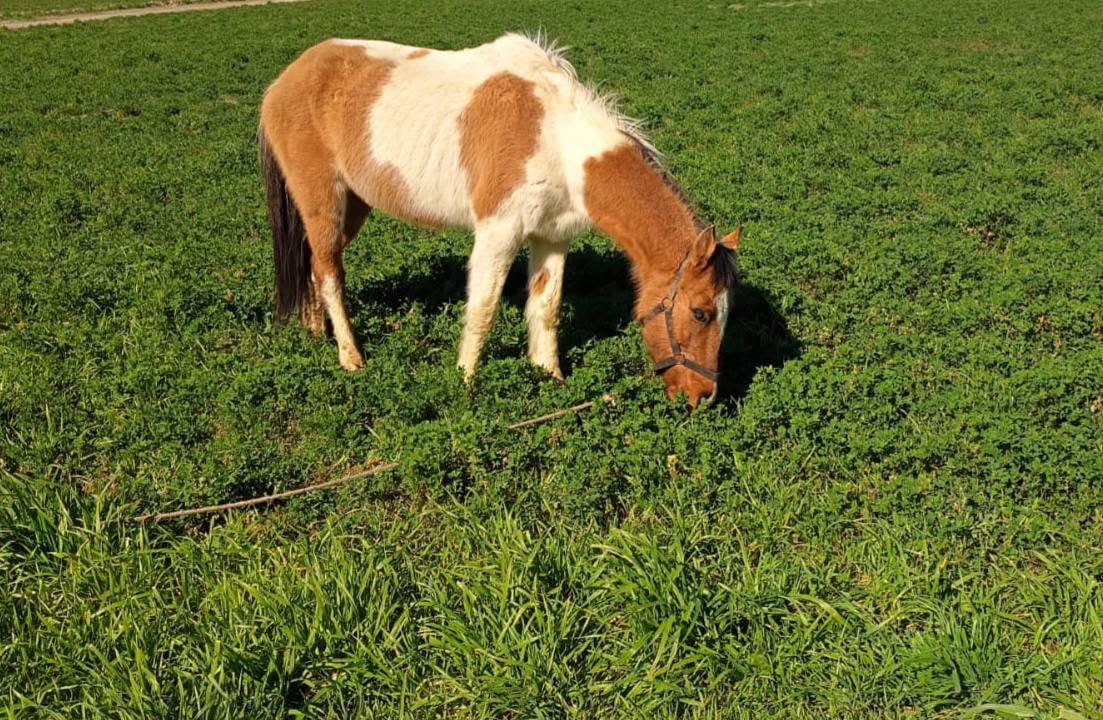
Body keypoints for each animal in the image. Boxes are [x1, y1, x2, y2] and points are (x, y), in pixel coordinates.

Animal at [259, 33, 742, 406]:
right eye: (700, 313)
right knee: (329, 272)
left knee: (313, 264)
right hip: (325, 201)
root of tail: (283, 81)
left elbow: (545, 307)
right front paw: (466, 382)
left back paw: (315, 332)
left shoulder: (551, 236)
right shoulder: (499, 232)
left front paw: (550, 377)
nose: (704, 396)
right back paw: (351, 357)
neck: (556, 139)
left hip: (352, 206)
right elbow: (483, 307)